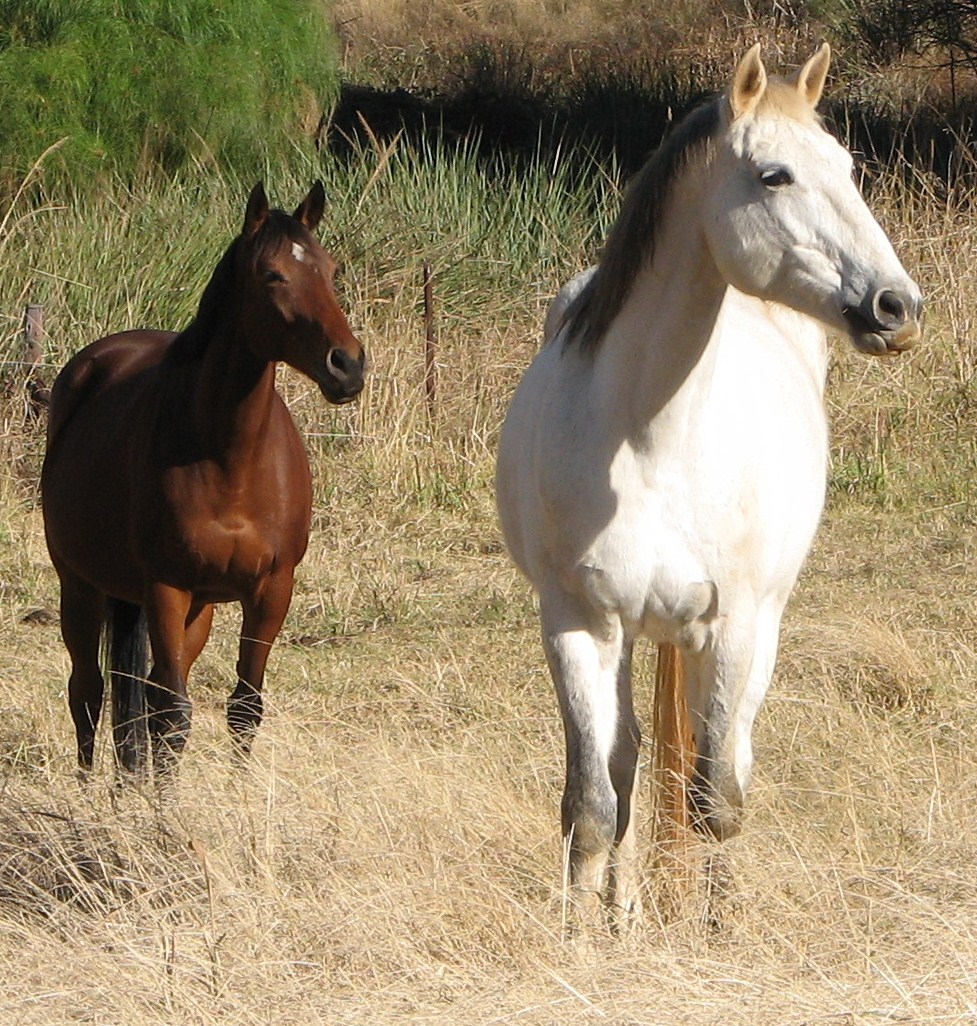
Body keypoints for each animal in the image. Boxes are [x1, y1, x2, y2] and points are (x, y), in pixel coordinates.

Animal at [40, 184, 365, 775]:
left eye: (330, 270)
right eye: (272, 275)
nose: (348, 365)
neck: (229, 462)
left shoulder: (272, 588)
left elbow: (244, 707)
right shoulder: (167, 587)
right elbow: (171, 715)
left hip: (197, 608)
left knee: (133, 695)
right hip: (80, 584)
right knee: (89, 692)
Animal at [496, 44, 923, 927]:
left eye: (847, 167)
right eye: (773, 176)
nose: (895, 306)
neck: (648, 441)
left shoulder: (733, 625)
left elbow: (714, 802)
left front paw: (714, 931)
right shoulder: (578, 623)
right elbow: (594, 806)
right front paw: (582, 937)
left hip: (755, 635)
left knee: (726, 768)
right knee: (628, 769)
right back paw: (625, 910)